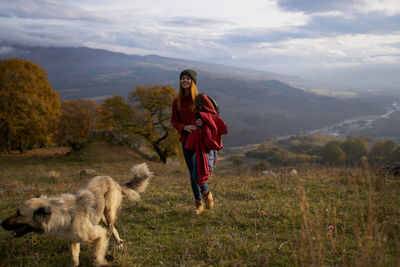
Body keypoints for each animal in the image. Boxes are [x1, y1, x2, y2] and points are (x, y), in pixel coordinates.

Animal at [1, 163, 152, 266]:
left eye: (19, 213)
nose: (1, 223)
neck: (62, 214)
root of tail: (112, 179)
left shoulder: (99, 235)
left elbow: (96, 256)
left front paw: (102, 261)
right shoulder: (73, 240)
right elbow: (74, 258)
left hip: (108, 211)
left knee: (110, 228)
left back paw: (117, 243)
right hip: (102, 216)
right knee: (112, 228)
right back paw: (118, 242)